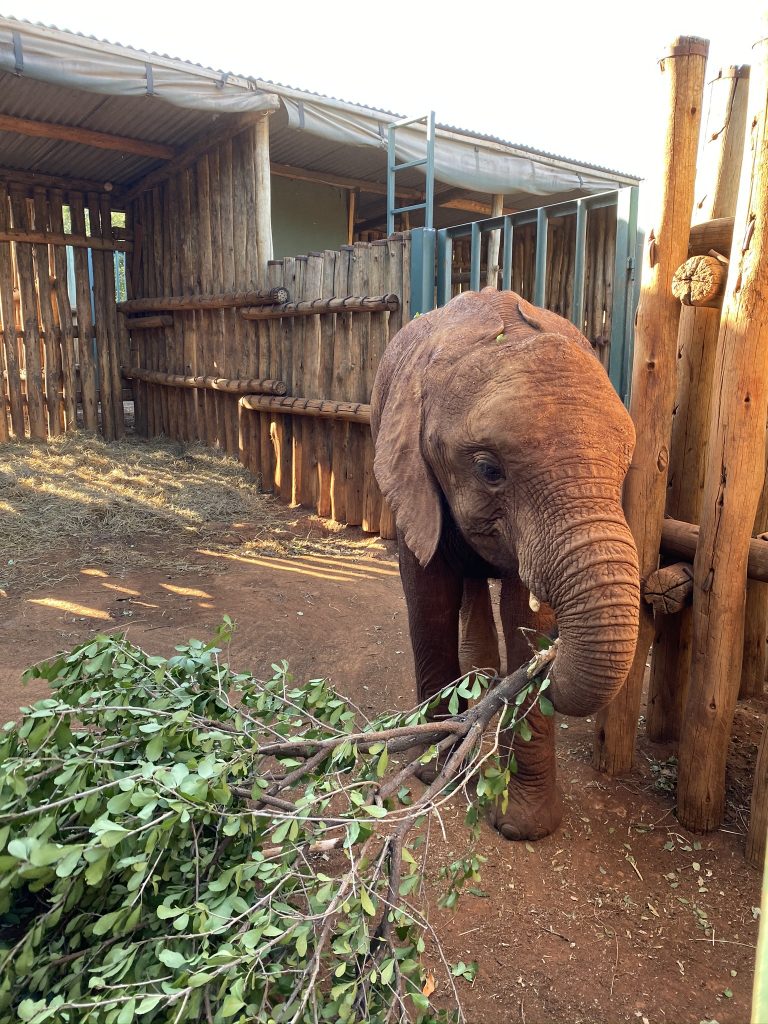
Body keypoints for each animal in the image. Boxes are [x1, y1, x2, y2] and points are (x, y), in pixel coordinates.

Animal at [370, 287, 640, 841]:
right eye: (489, 470)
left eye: (625, 470)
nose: (556, 656)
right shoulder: (411, 477)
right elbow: (428, 597)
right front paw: (433, 768)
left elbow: (524, 615)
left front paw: (522, 827)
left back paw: (487, 685)